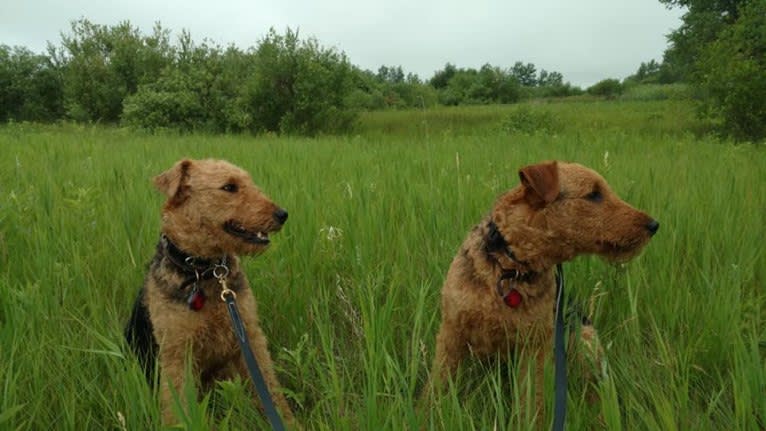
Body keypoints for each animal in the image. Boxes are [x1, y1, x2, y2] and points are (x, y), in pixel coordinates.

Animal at [124, 158, 296, 426]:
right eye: (229, 187)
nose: (282, 214)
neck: (204, 270)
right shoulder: (177, 352)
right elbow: (177, 404)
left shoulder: (249, 333)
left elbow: (269, 387)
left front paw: (288, 422)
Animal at [426, 160, 660, 420]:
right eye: (594, 194)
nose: (653, 225)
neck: (511, 268)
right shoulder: (451, 332)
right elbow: (437, 383)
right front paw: (426, 414)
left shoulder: (534, 347)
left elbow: (531, 402)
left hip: (584, 338)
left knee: (595, 388)